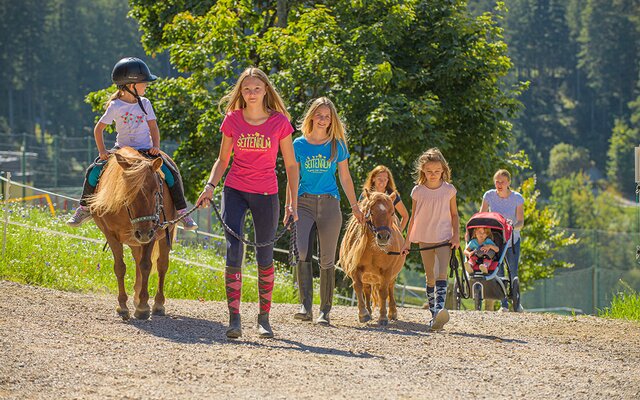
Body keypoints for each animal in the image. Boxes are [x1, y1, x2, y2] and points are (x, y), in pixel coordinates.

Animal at [88, 146, 178, 318]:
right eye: (127, 194)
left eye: (156, 193)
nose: (143, 233)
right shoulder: (111, 235)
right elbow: (120, 267)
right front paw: (123, 306)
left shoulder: (153, 232)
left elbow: (146, 265)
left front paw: (143, 307)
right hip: (135, 241)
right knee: (137, 261)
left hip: (164, 233)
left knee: (161, 265)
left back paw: (158, 304)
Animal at [340, 190, 404, 324]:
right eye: (372, 212)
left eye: (392, 212)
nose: (383, 237)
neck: (374, 250)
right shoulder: (356, 269)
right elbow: (358, 287)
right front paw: (363, 314)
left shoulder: (387, 272)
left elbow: (384, 292)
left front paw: (383, 317)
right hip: (367, 276)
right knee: (367, 290)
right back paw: (368, 311)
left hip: (391, 275)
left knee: (390, 288)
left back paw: (392, 312)